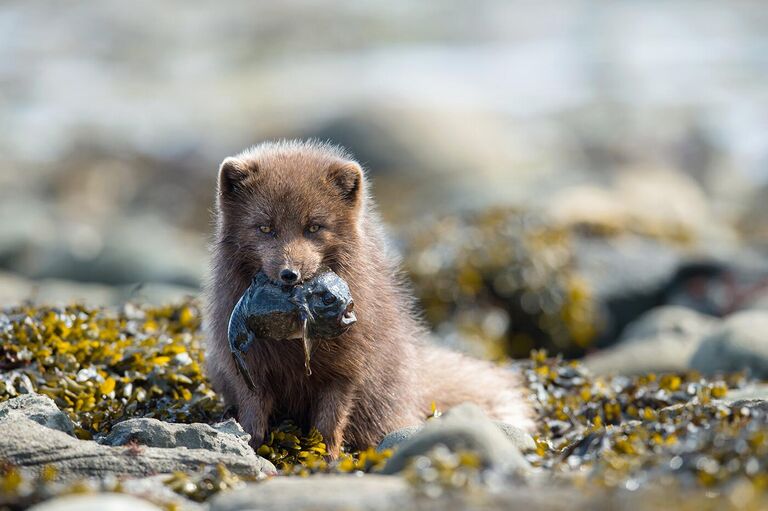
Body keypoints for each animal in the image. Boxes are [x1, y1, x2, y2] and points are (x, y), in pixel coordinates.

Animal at [202, 141, 536, 460]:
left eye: (314, 227)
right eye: (265, 227)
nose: (289, 273)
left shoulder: (346, 370)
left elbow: (330, 424)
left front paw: (327, 459)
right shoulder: (247, 367)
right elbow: (253, 414)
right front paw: (252, 446)